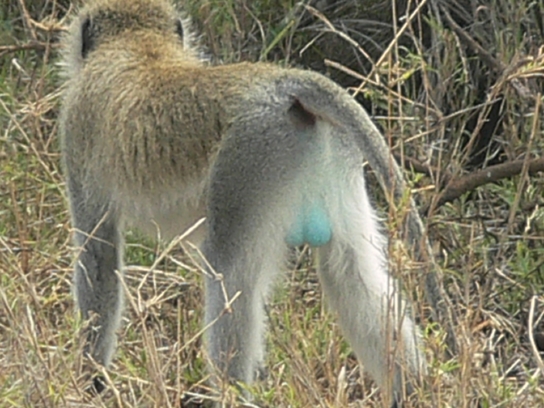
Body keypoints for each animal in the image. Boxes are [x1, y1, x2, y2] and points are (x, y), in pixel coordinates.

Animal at [58, 0, 430, 405]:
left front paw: (87, 382)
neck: (140, 45)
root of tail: (281, 82)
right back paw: (413, 392)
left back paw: (231, 394)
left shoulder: (76, 135)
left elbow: (99, 258)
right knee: (349, 270)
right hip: (335, 159)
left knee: (230, 276)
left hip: (248, 156)